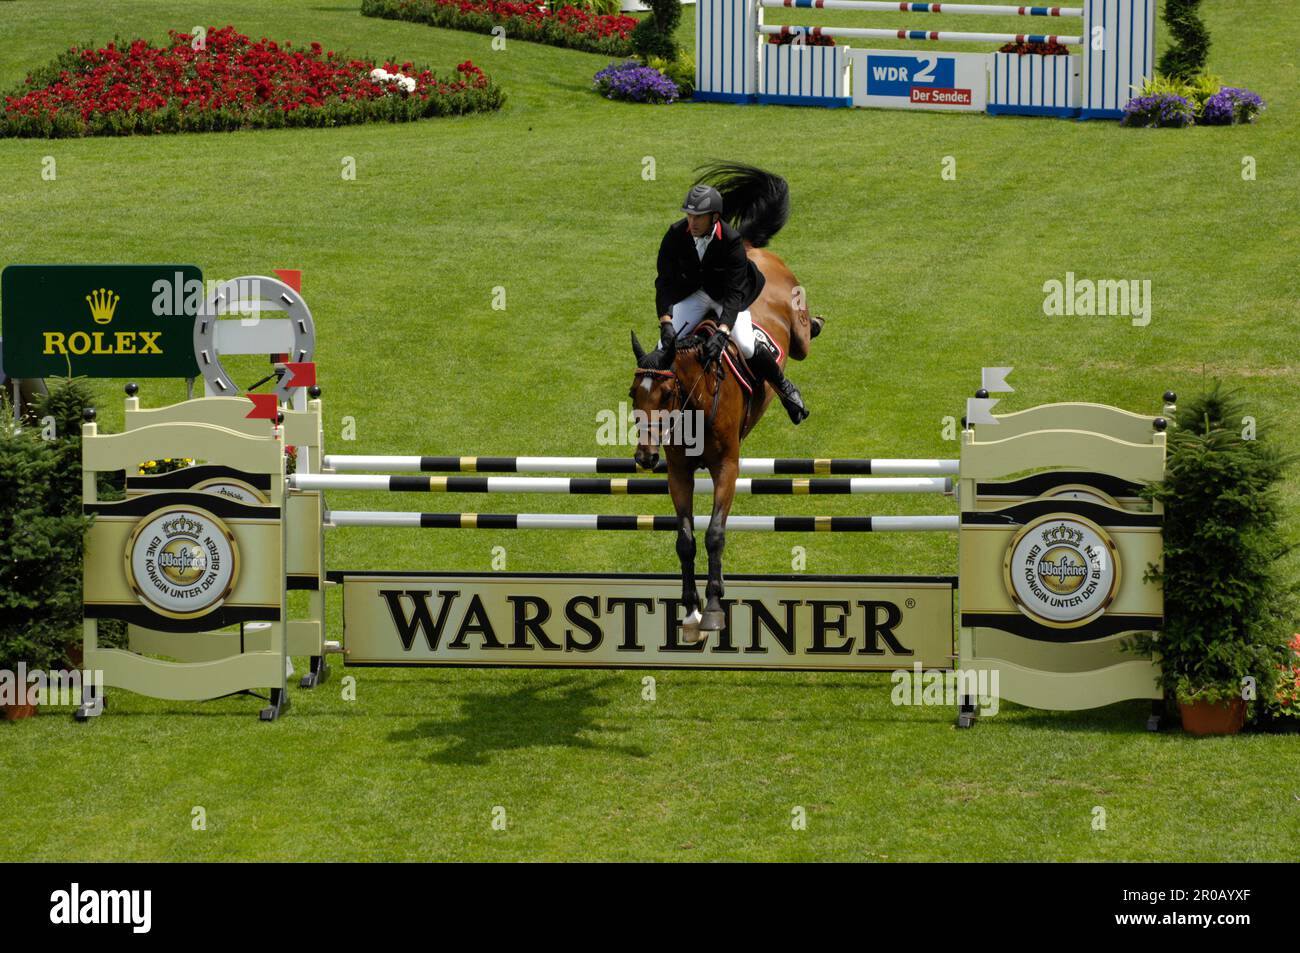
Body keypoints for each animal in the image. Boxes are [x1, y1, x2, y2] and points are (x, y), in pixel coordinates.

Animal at [624, 163, 816, 639]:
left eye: (667, 393)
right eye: (634, 394)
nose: (644, 457)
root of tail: (747, 247)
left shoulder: (727, 465)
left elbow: (713, 533)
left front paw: (712, 606)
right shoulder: (678, 471)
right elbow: (686, 538)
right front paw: (689, 607)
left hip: (789, 324)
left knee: (802, 334)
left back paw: (797, 383)